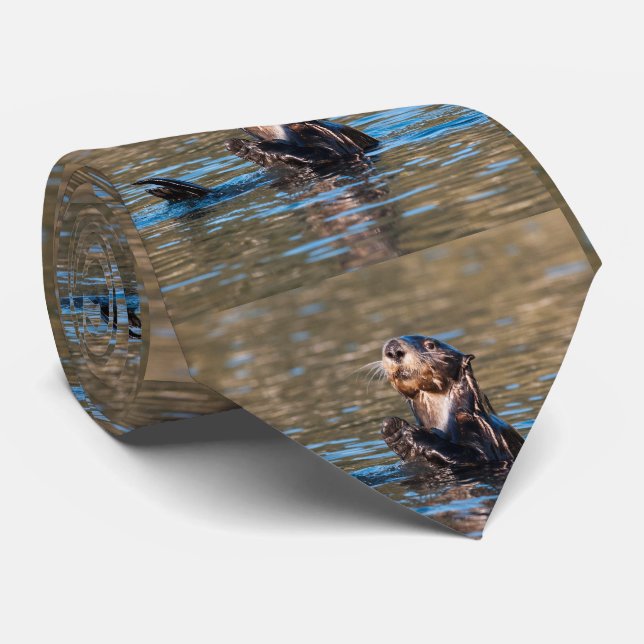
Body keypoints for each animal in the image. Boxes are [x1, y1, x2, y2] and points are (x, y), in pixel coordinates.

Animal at [379, 335, 524, 466]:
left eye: (430, 345)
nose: (393, 349)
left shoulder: (482, 430)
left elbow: (474, 456)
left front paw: (415, 433)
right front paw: (393, 429)